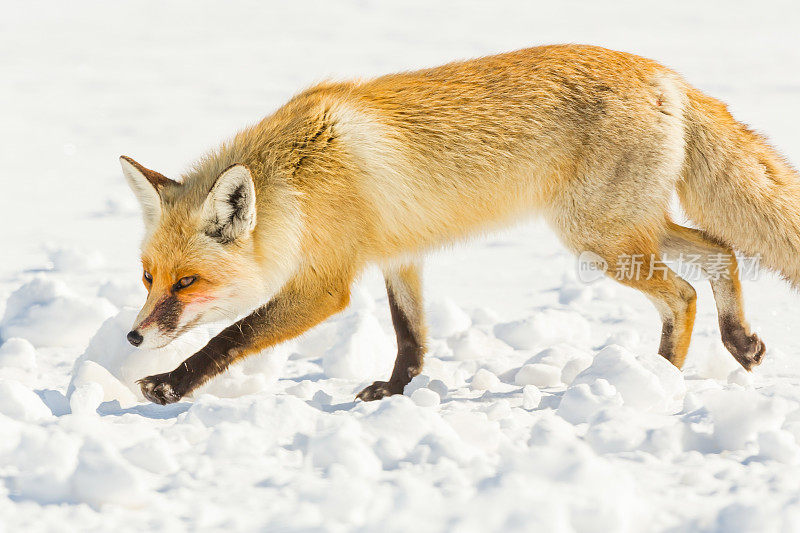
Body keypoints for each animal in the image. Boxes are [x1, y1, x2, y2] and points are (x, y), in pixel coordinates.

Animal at [120, 44, 792, 404]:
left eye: (188, 283)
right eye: (148, 277)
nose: (131, 337)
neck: (301, 182)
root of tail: (666, 74)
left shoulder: (325, 286)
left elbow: (231, 337)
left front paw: (168, 387)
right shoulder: (399, 255)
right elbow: (411, 337)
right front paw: (393, 394)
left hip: (600, 240)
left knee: (682, 293)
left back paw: (657, 381)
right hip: (629, 231)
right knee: (722, 250)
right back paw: (739, 342)